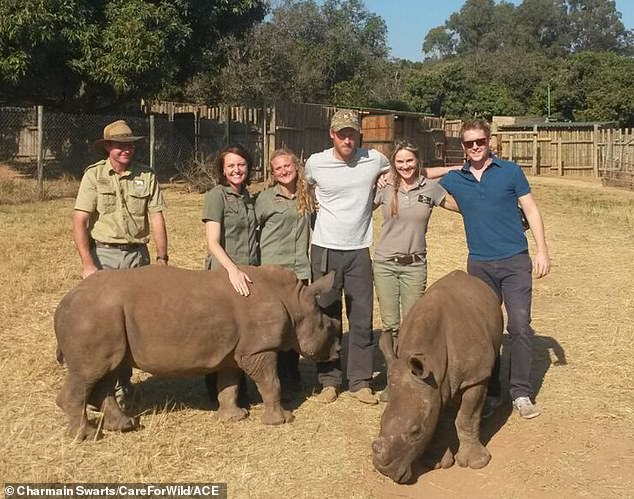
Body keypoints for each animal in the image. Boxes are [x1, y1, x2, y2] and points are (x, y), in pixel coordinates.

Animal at [55, 266, 340, 442]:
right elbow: (271, 383)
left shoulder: (235, 351)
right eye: (328, 327)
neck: (295, 302)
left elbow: (229, 384)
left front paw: (234, 418)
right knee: (90, 372)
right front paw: (282, 420)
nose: (337, 351)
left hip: (102, 319)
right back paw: (87, 436)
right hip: (91, 317)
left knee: (106, 370)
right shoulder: (259, 348)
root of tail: (62, 304)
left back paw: (124, 426)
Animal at [370, 270, 498, 484]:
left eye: (416, 431)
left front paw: (477, 463)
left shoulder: (476, 376)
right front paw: (436, 462)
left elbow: (467, 417)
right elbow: (438, 417)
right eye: (380, 421)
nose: (385, 472)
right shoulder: (433, 386)